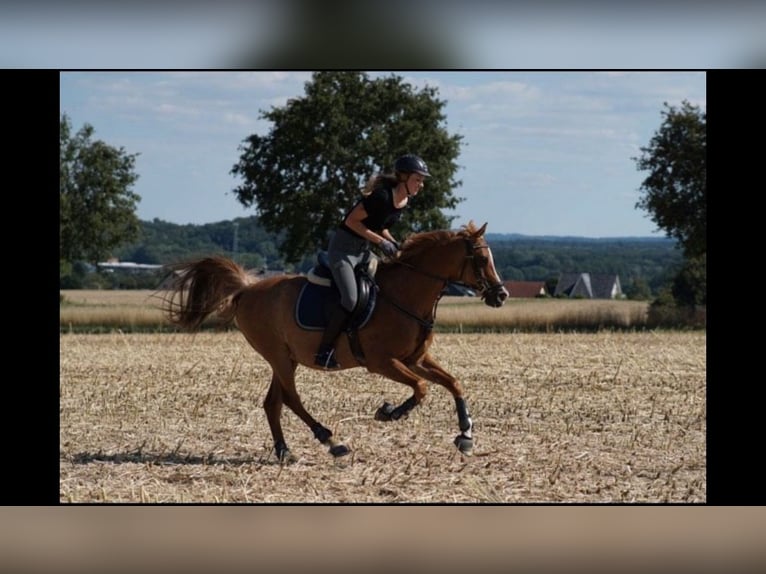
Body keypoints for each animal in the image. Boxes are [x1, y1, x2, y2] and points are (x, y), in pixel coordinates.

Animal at [162, 220, 510, 464]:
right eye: (481, 260)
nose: (501, 295)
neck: (406, 295)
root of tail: (247, 289)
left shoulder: (415, 359)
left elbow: (453, 383)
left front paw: (465, 435)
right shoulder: (382, 362)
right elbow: (422, 388)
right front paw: (389, 412)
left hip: (285, 358)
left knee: (274, 402)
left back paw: (285, 451)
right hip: (278, 356)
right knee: (291, 399)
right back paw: (331, 441)